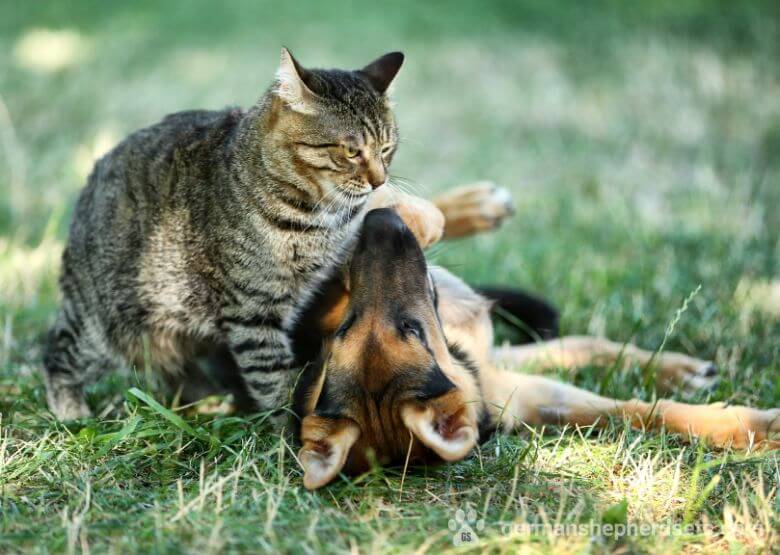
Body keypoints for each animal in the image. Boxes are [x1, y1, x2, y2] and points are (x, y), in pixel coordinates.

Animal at [44, 50, 438, 424]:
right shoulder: (254, 311)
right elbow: (273, 377)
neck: (315, 219)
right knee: (56, 350)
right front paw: (290, 434)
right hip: (101, 324)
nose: (380, 181)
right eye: (351, 151)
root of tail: (89, 182)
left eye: (386, 148)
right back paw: (72, 410)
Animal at [286, 184, 780, 490]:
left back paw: (469, 205)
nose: (379, 226)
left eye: (344, 328)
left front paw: (679, 371)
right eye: (411, 329)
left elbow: (591, 352)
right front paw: (756, 425)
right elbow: (641, 412)